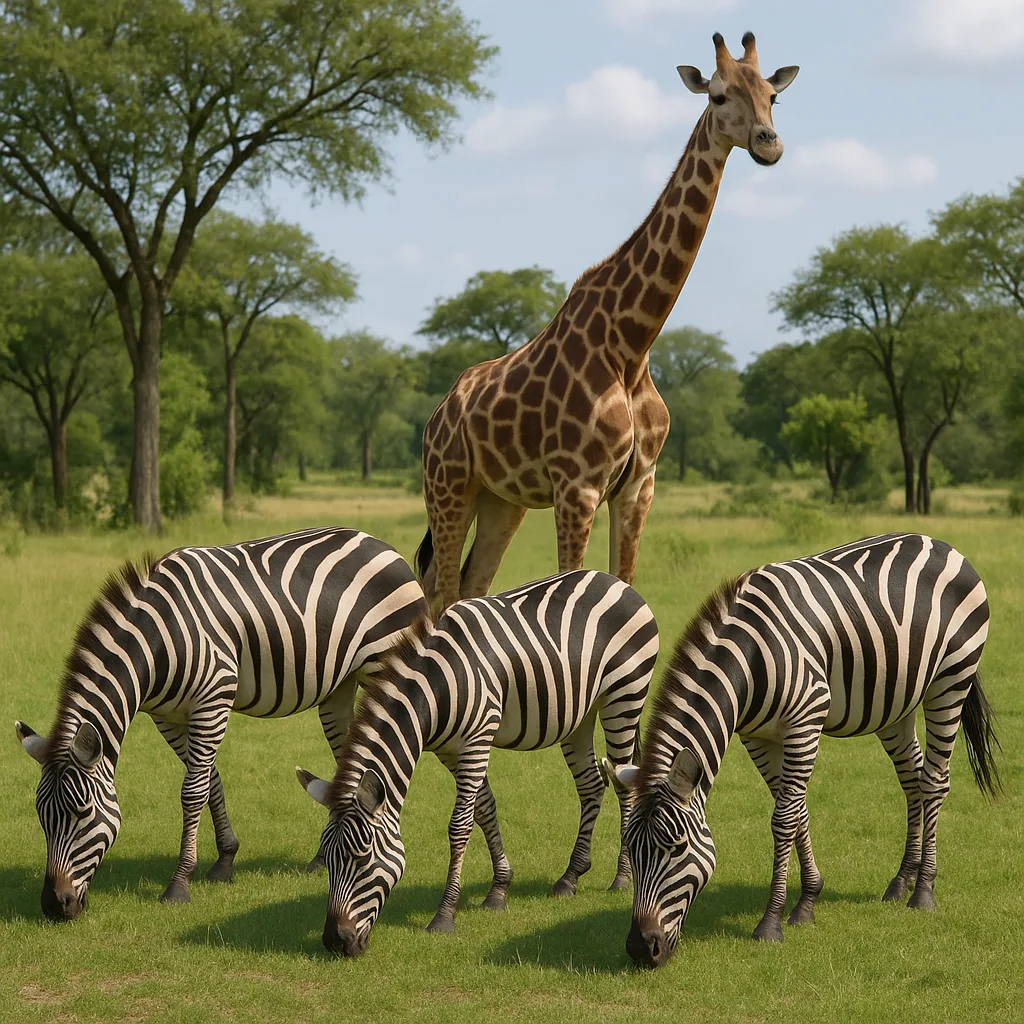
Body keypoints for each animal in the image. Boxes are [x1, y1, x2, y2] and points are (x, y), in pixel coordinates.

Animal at [15, 527, 427, 921]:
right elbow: (210, 781)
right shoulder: (168, 717)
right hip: (339, 689)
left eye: (80, 813)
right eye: (41, 818)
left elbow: (192, 791)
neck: (159, 638)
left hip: (381, 669)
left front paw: (179, 885)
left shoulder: (213, 699)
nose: (55, 905)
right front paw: (225, 860)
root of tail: (380, 544)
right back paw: (321, 859)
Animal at [295, 569, 659, 957]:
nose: (335, 941)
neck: (436, 688)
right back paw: (571, 876)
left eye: (361, 859)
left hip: (625, 697)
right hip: (581, 714)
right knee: (591, 784)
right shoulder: (450, 750)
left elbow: (460, 825)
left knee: (623, 785)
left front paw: (444, 916)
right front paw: (499, 888)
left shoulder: (477, 738)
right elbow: (485, 808)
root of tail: (612, 580)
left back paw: (622, 877)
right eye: (327, 860)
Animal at [417, 32, 799, 612]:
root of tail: (438, 415)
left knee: (470, 585)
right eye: (716, 95)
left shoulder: (639, 484)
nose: (768, 144)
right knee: (440, 592)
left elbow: (630, 587)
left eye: (772, 97)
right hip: (448, 485)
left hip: (501, 499)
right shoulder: (577, 485)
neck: (632, 343)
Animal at [604, 533, 998, 968]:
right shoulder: (758, 736)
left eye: (676, 848)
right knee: (912, 780)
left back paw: (923, 890)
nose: (642, 949)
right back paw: (902, 879)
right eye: (630, 849)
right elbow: (797, 811)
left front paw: (771, 922)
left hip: (951, 680)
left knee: (935, 782)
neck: (749, 659)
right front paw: (808, 899)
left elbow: (784, 818)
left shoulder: (805, 721)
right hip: (897, 703)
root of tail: (939, 542)